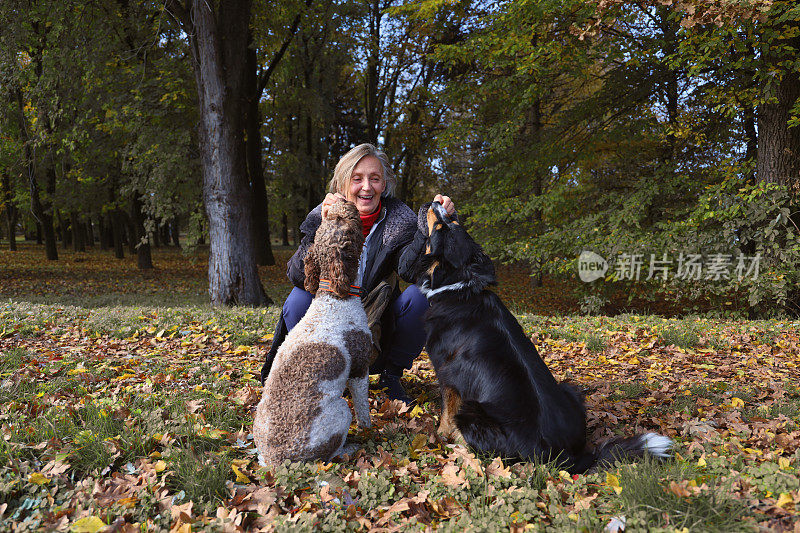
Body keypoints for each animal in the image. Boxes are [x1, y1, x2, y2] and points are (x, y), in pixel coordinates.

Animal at [416, 202, 672, 472]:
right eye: (449, 221)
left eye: (442, 227)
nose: (437, 203)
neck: (458, 288)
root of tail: (566, 457)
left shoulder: (446, 371)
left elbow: (446, 410)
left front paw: (440, 435)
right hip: (568, 388)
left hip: (472, 411)